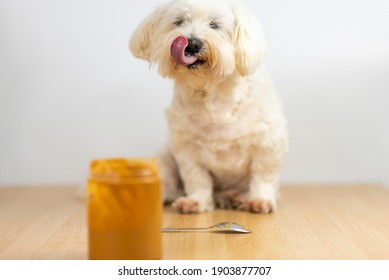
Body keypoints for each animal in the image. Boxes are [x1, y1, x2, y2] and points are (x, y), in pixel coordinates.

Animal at [129, 0, 286, 213]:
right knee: (170, 185)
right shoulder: (186, 147)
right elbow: (197, 178)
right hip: (165, 156)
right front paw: (196, 200)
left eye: (215, 25)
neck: (211, 94)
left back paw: (233, 197)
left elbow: (263, 176)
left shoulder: (269, 142)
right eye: (179, 21)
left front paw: (261, 200)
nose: (193, 43)